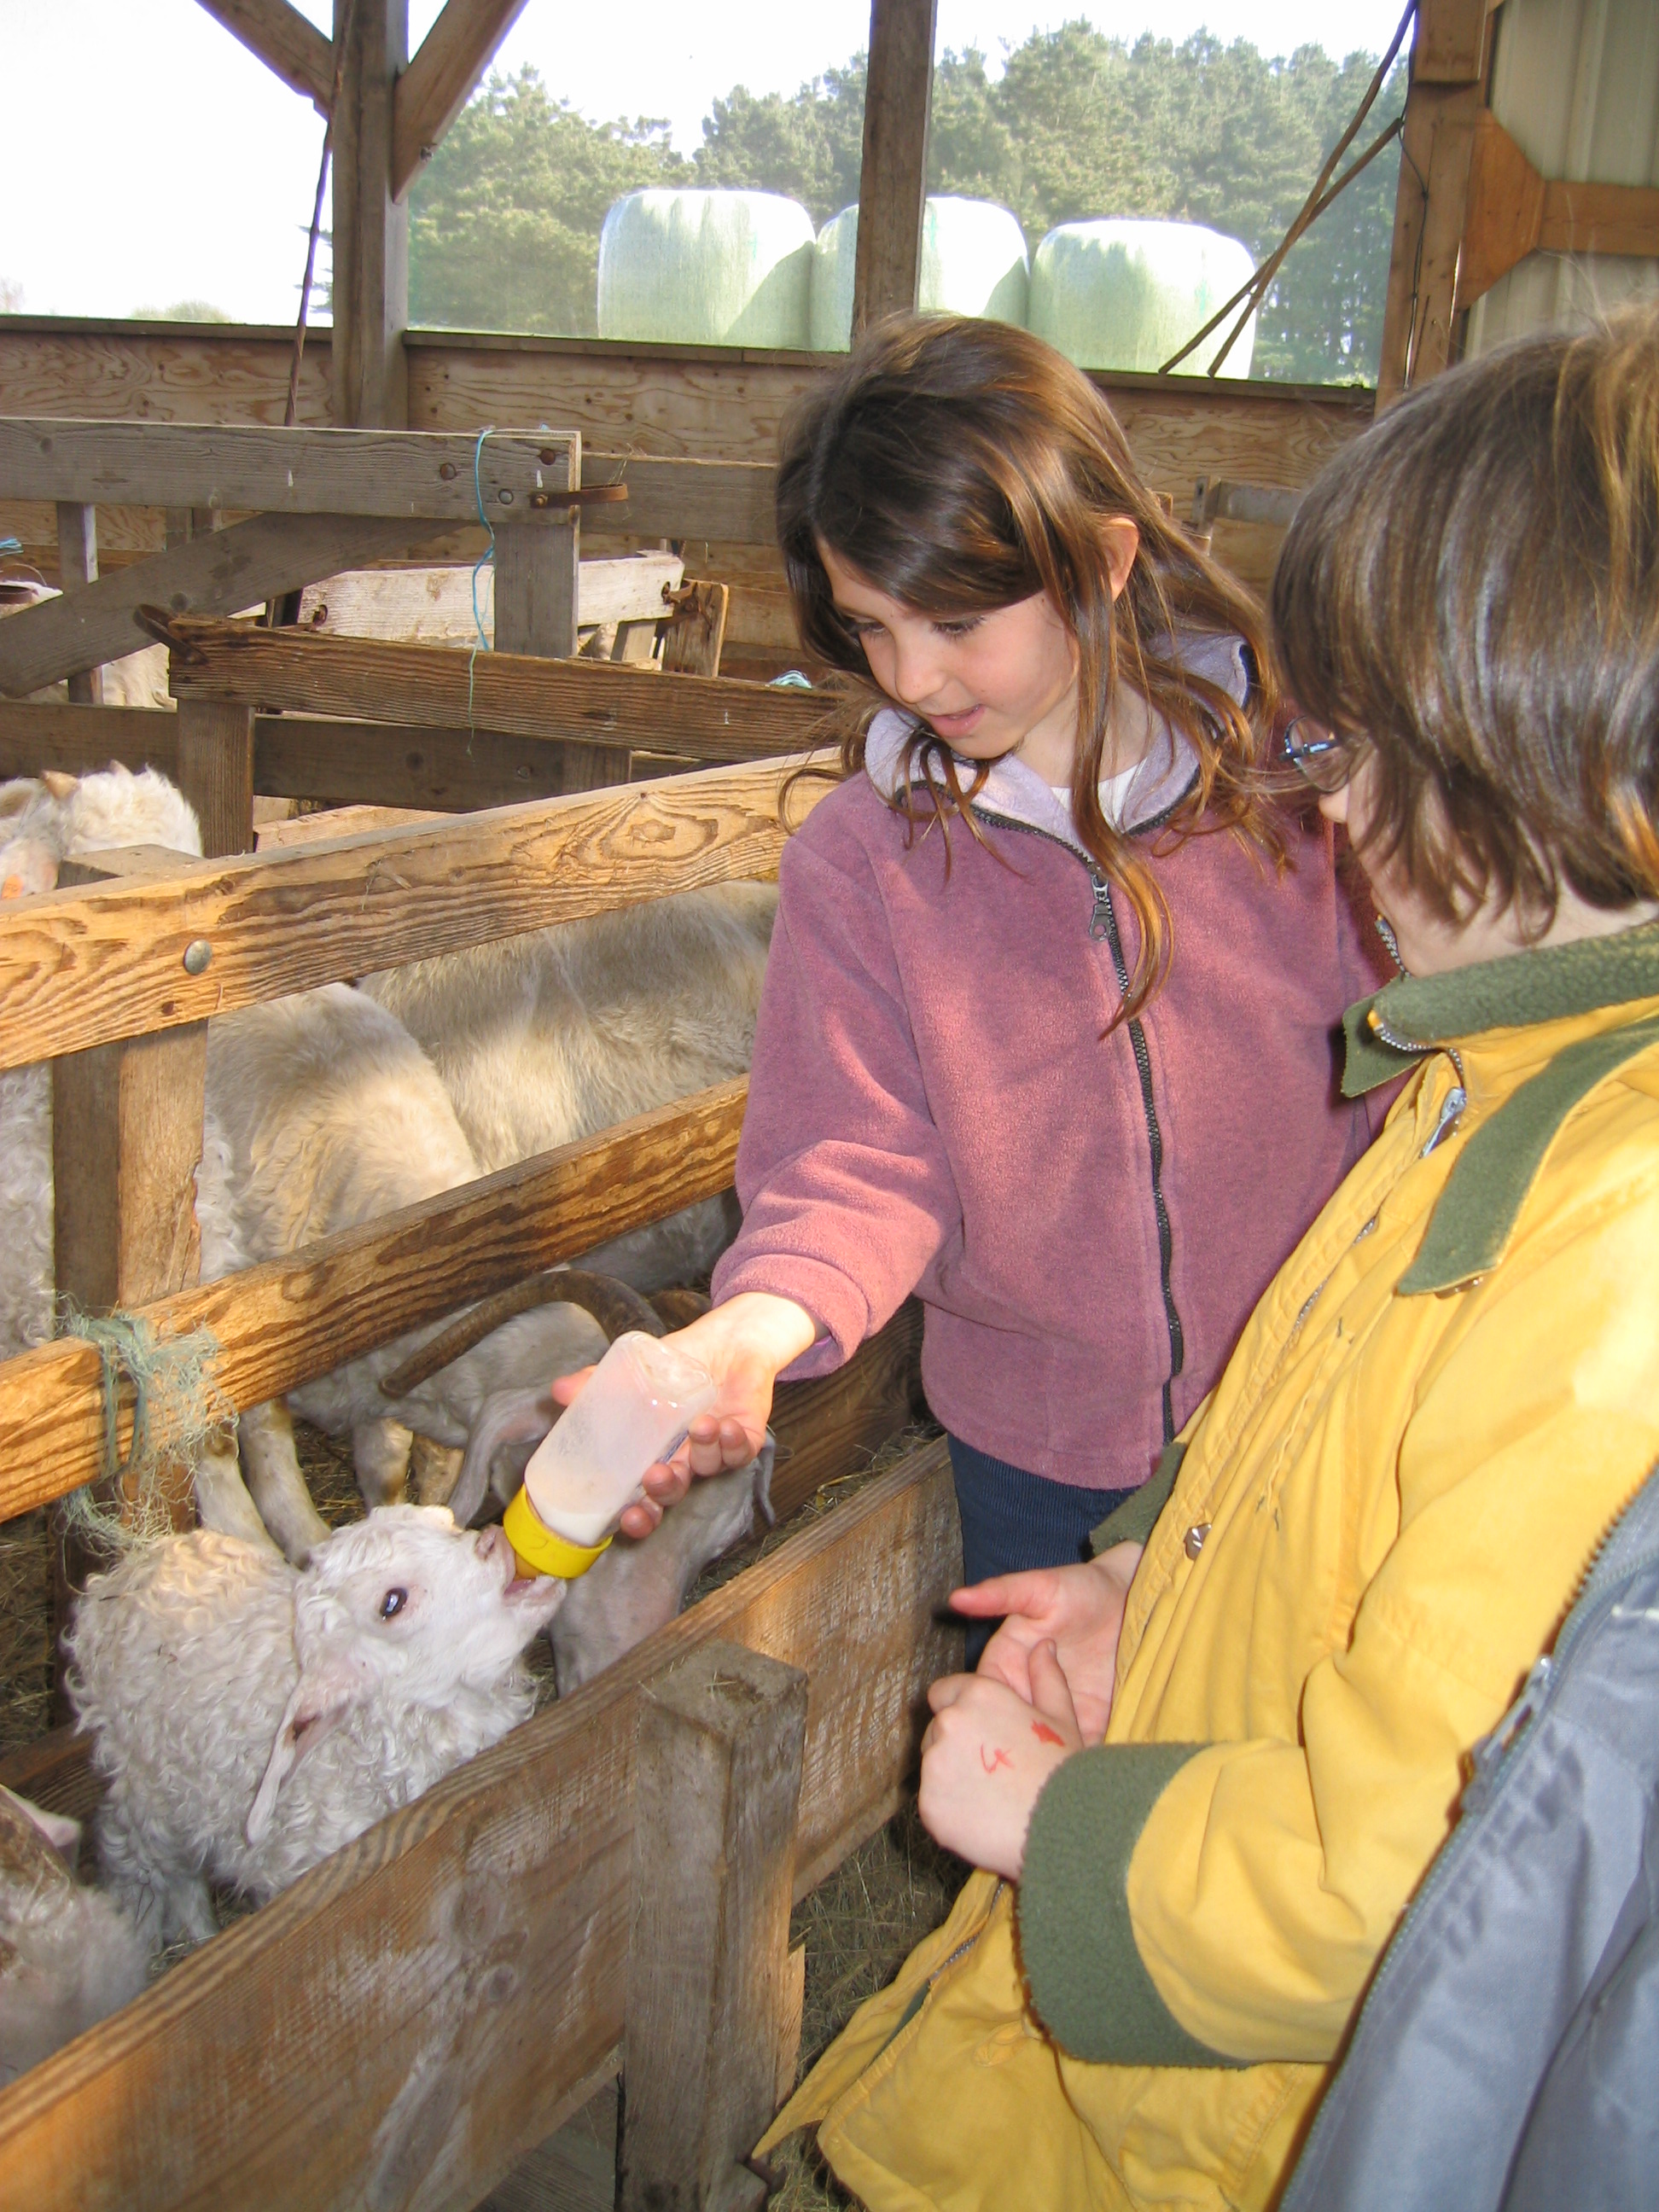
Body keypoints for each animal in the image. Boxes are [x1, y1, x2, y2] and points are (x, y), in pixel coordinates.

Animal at [64, 1505, 566, 1947]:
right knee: (140, 1863)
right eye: (391, 1603)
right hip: (145, 1796)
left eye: (445, 1520)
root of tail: (126, 1571)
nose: (496, 1541)